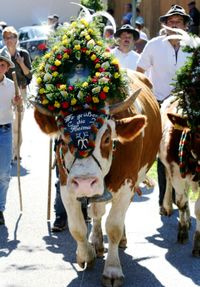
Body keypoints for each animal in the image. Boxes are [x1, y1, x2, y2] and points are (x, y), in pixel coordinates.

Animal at [31, 9, 162, 287]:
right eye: (63, 138)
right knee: (97, 209)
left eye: (107, 138)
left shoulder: (126, 183)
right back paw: (96, 241)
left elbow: (114, 225)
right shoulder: (67, 185)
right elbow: (77, 226)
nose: (85, 182)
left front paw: (112, 269)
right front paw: (86, 254)